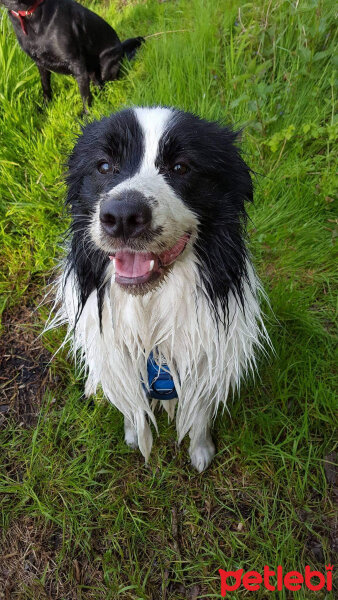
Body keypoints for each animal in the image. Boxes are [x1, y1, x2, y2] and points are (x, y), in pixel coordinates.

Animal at [2, 0, 144, 109]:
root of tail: (121, 47)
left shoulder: (76, 63)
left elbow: (85, 96)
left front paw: (85, 116)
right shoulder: (40, 64)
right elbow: (46, 87)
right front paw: (45, 107)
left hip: (107, 68)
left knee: (107, 81)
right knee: (98, 84)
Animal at [50, 108, 268, 474]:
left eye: (181, 167)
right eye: (104, 166)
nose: (123, 216)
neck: (150, 305)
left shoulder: (206, 357)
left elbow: (199, 414)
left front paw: (201, 450)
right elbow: (130, 405)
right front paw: (134, 434)